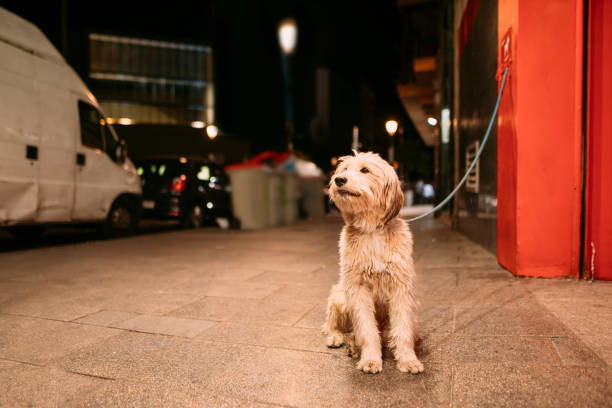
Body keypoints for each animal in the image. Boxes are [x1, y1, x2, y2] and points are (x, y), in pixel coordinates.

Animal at [322, 151, 424, 374]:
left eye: (365, 170)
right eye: (344, 169)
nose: (338, 180)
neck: (371, 230)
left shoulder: (401, 289)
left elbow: (403, 329)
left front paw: (408, 359)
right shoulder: (358, 289)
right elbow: (367, 330)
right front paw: (370, 359)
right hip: (340, 294)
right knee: (332, 325)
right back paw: (339, 339)